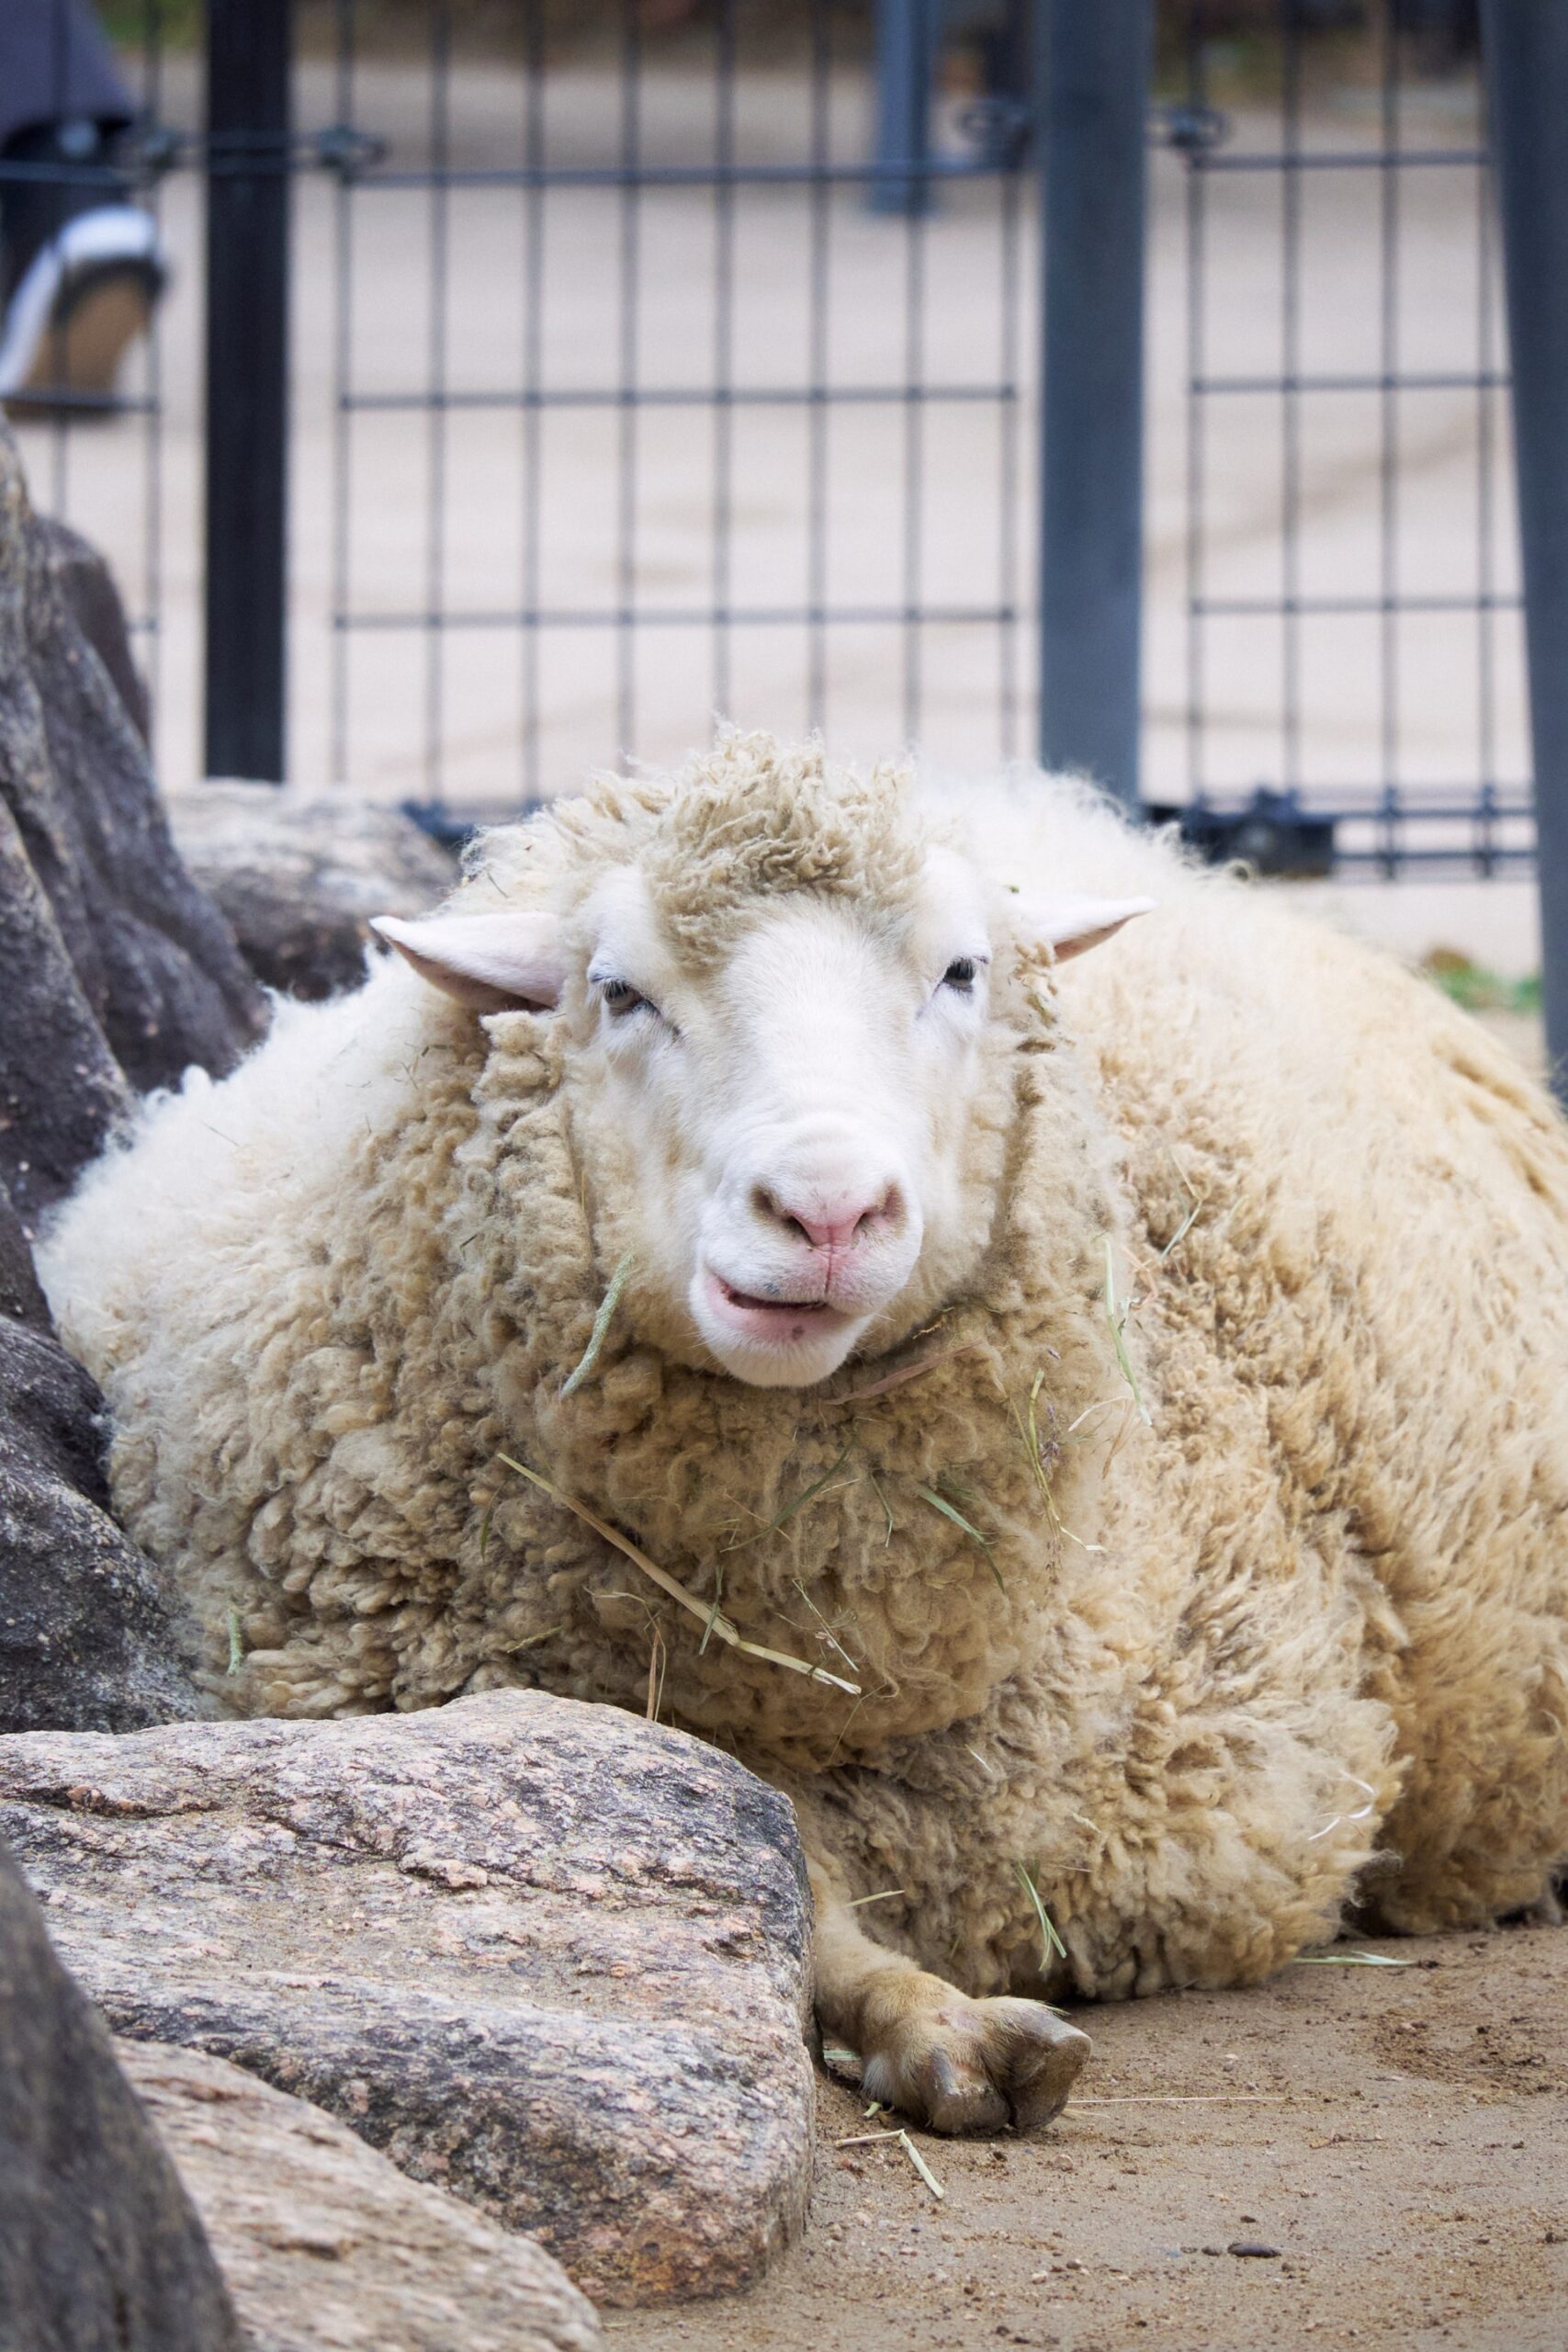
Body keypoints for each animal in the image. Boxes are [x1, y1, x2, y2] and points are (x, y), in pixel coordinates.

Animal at [42, 729, 1568, 2135]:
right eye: (616, 991)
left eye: (961, 975)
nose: (827, 1212)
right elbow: (775, 1885)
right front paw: (936, 2027)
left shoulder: (1194, 1781)